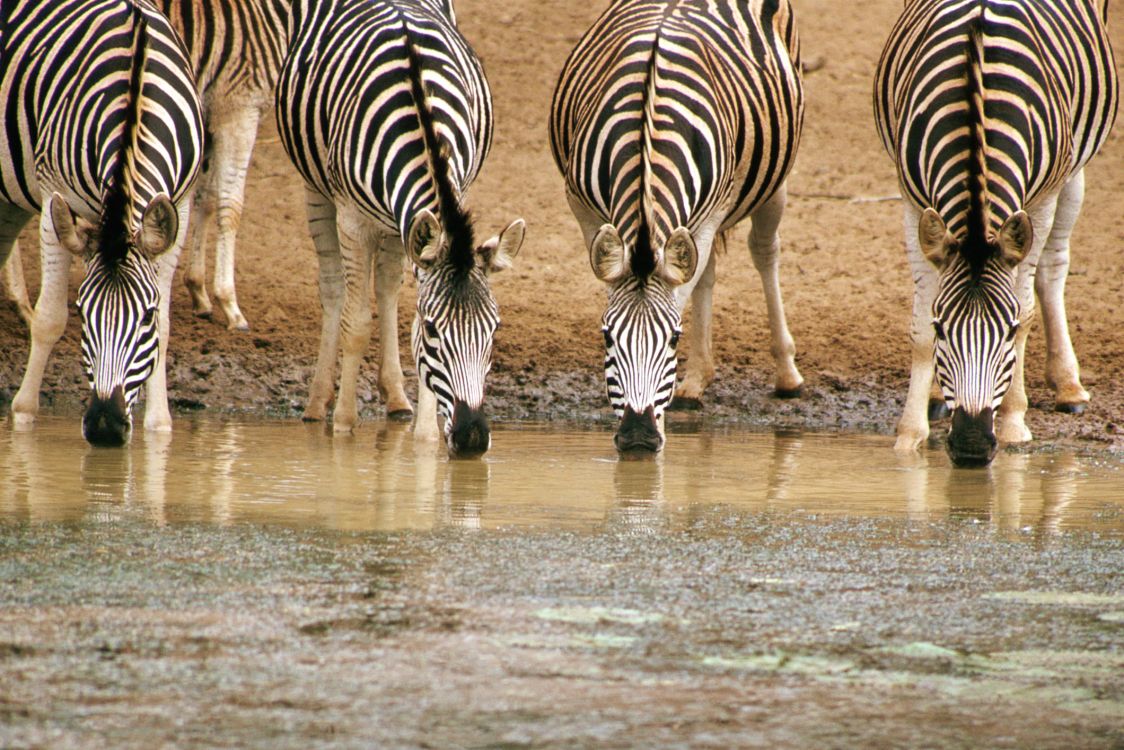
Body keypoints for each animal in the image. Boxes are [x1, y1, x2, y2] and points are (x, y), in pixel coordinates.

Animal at [2, 0, 203, 446]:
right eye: (82, 311)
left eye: (145, 317)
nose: (105, 426)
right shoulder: (53, 196)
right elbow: (48, 318)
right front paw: (22, 415)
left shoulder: (181, 205)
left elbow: (167, 324)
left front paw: (159, 425)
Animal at [156, 0, 291, 332]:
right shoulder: (239, 109)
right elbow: (231, 205)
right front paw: (229, 304)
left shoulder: (207, 114)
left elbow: (205, 199)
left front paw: (199, 291)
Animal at [276, 0, 524, 457]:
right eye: (432, 330)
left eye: (494, 329)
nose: (472, 438)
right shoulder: (353, 221)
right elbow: (357, 324)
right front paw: (343, 425)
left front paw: (425, 439)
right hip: (317, 188)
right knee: (334, 289)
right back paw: (319, 403)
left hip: (399, 226)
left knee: (388, 286)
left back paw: (395, 397)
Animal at [550, 0, 806, 452]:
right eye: (606, 337)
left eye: (673, 338)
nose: (637, 438)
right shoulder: (581, 205)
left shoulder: (715, 206)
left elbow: (681, 294)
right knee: (705, 269)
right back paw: (695, 381)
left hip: (773, 177)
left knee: (764, 251)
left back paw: (787, 374)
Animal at [875, 0, 1118, 466]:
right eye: (941, 329)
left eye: (1004, 331)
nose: (971, 447)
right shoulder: (911, 199)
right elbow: (917, 327)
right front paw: (909, 435)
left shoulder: (1040, 202)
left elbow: (1027, 310)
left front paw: (1013, 422)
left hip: (1073, 166)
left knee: (1051, 268)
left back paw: (1068, 385)